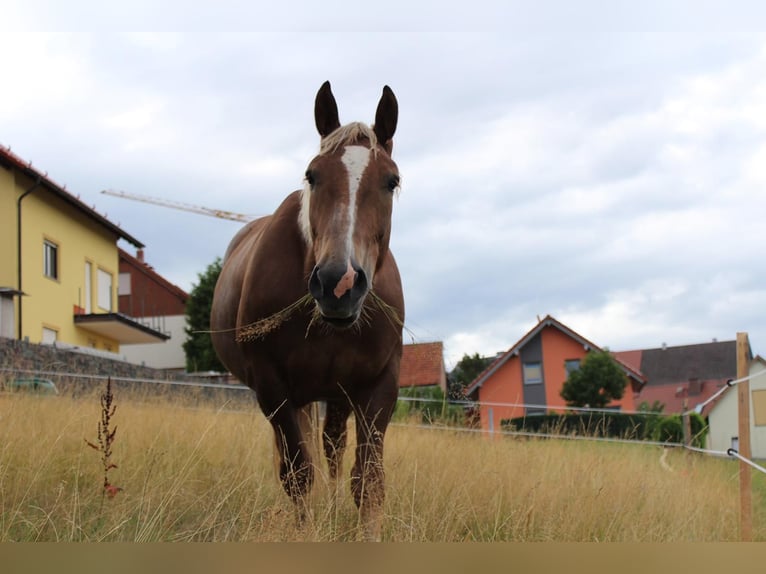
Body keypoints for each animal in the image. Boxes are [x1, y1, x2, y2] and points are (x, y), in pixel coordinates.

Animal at [210, 81, 403, 540]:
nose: (339, 283)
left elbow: (368, 481)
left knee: (332, 451)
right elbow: (298, 475)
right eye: (312, 175)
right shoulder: (272, 387)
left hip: (334, 395)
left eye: (392, 181)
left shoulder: (379, 386)